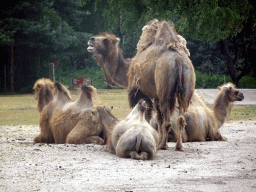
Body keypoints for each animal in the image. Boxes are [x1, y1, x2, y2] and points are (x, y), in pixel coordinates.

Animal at [87, 18, 195, 150]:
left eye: (106, 40)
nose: (91, 39)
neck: (127, 70)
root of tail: (178, 59)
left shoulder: (139, 91)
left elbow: (147, 115)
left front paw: (156, 141)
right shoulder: (155, 95)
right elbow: (158, 118)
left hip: (165, 88)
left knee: (168, 120)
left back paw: (163, 145)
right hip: (186, 85)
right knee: (180, 117)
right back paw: (179, 146)